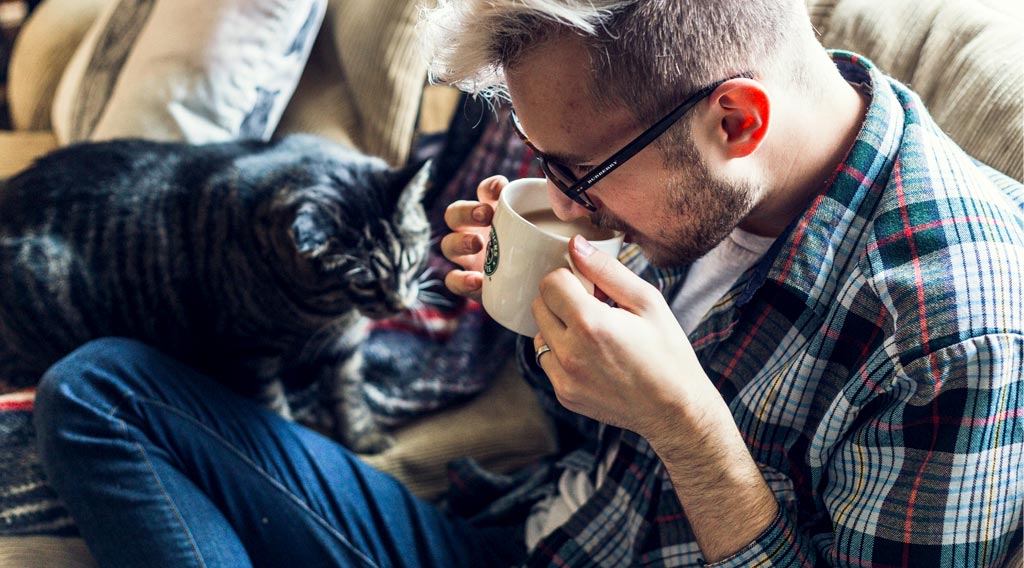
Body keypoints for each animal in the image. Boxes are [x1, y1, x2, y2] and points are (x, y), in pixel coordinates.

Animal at [0, 133, 432, 454]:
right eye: (362, 281)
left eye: (410, 260)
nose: (399, 303)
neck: (327, 314)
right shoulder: (249, 352)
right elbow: (274, 406)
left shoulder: (346, 348)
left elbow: (349, 394)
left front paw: (364, 437)